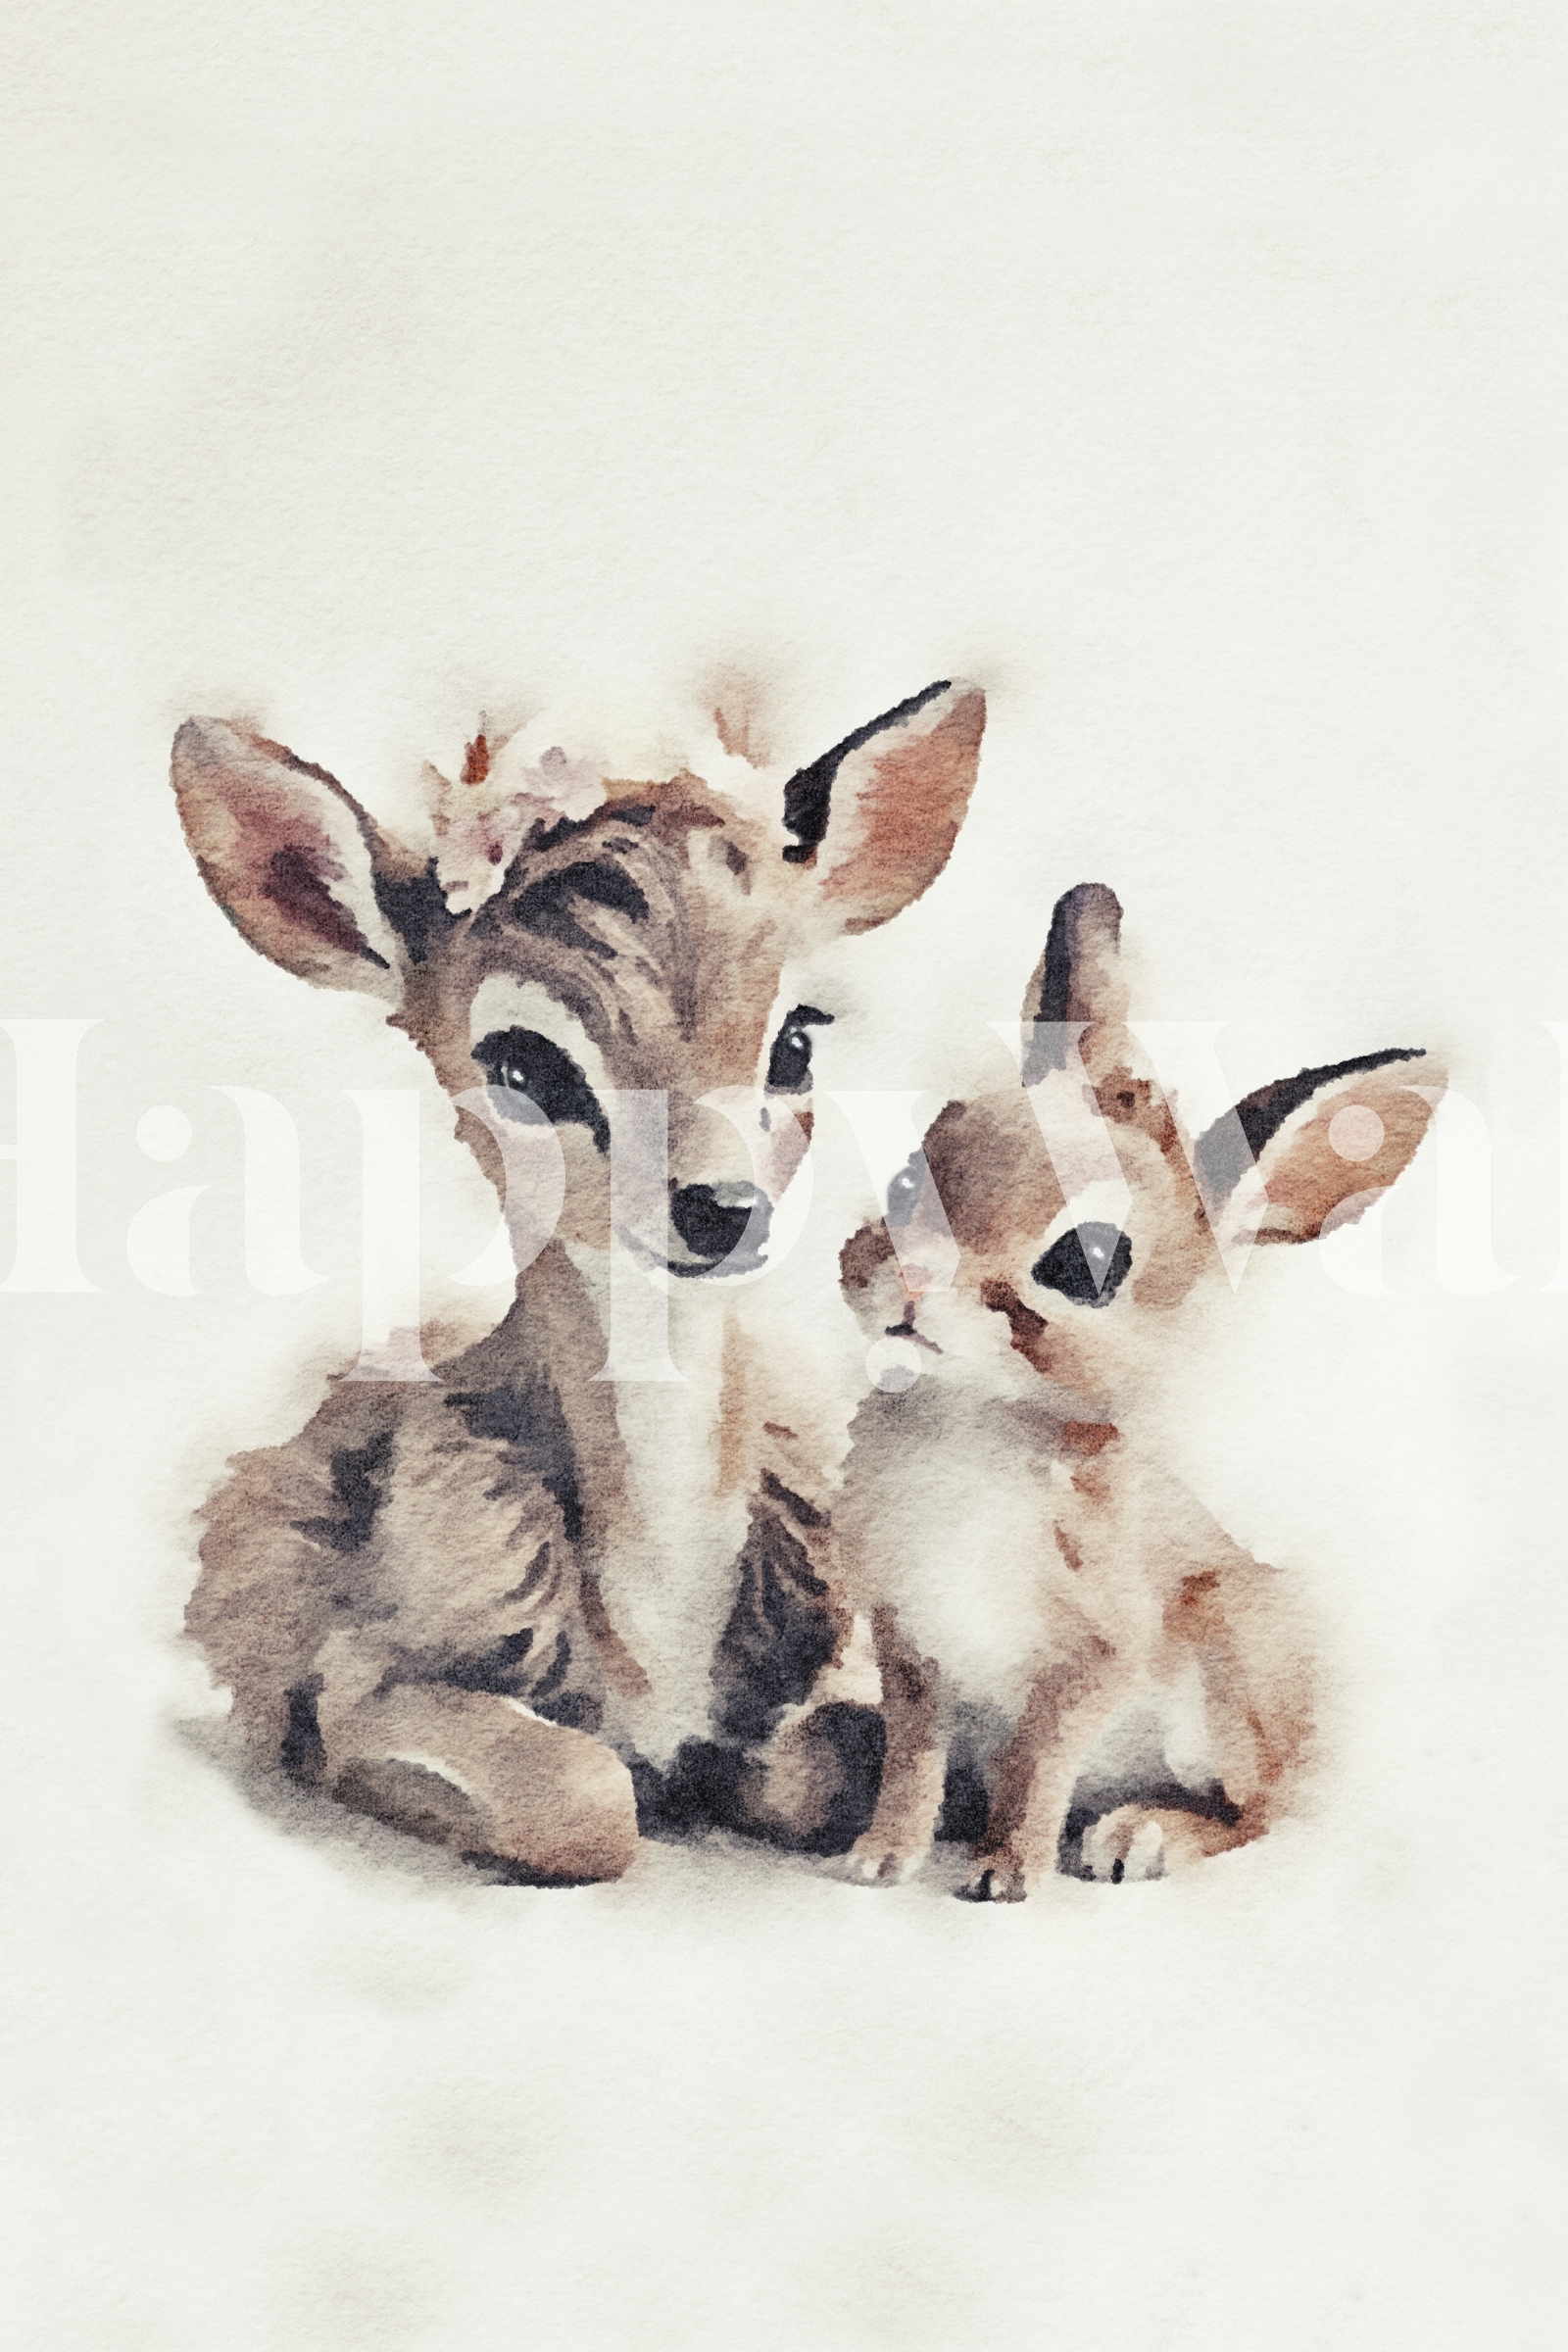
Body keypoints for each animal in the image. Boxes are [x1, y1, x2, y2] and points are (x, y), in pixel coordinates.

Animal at [169, 678, 985, 1883]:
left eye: (795, 1038)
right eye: (521, 1061)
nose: (720, 1206)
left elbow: (823, 1759)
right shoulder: (363, 1682)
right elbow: (588, 1797)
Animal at [830, 881, 1444, 1900]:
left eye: (1086, 1264)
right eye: (916, 1171)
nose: (911, 1284)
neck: (974, 1414)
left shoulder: (1099, 1653)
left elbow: (1039, 1760)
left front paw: (1005, 1877)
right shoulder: (910, 1641)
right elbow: (913, 1755)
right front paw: (878, 1859)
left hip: (1232, 1662)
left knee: (1253, 1814)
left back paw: (1140, 1838)